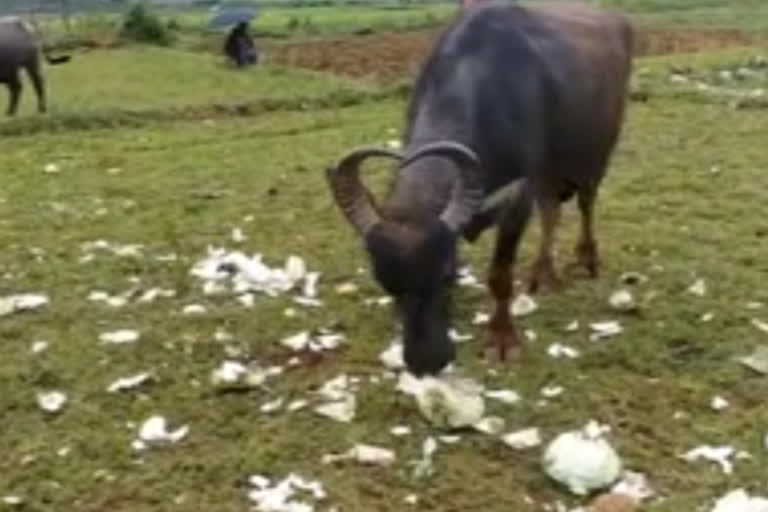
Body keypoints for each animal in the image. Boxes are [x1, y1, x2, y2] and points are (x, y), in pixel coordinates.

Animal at [328, 0, 632, 376]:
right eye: (384, 281)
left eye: (444, 275)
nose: (426, 361)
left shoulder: (518, 199)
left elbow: (500, 274)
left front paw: (502, 338)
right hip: (549, 171)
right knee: (551, 210)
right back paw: (543, 273)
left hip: (595, 152)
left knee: (586, 201)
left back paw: (587, 258)